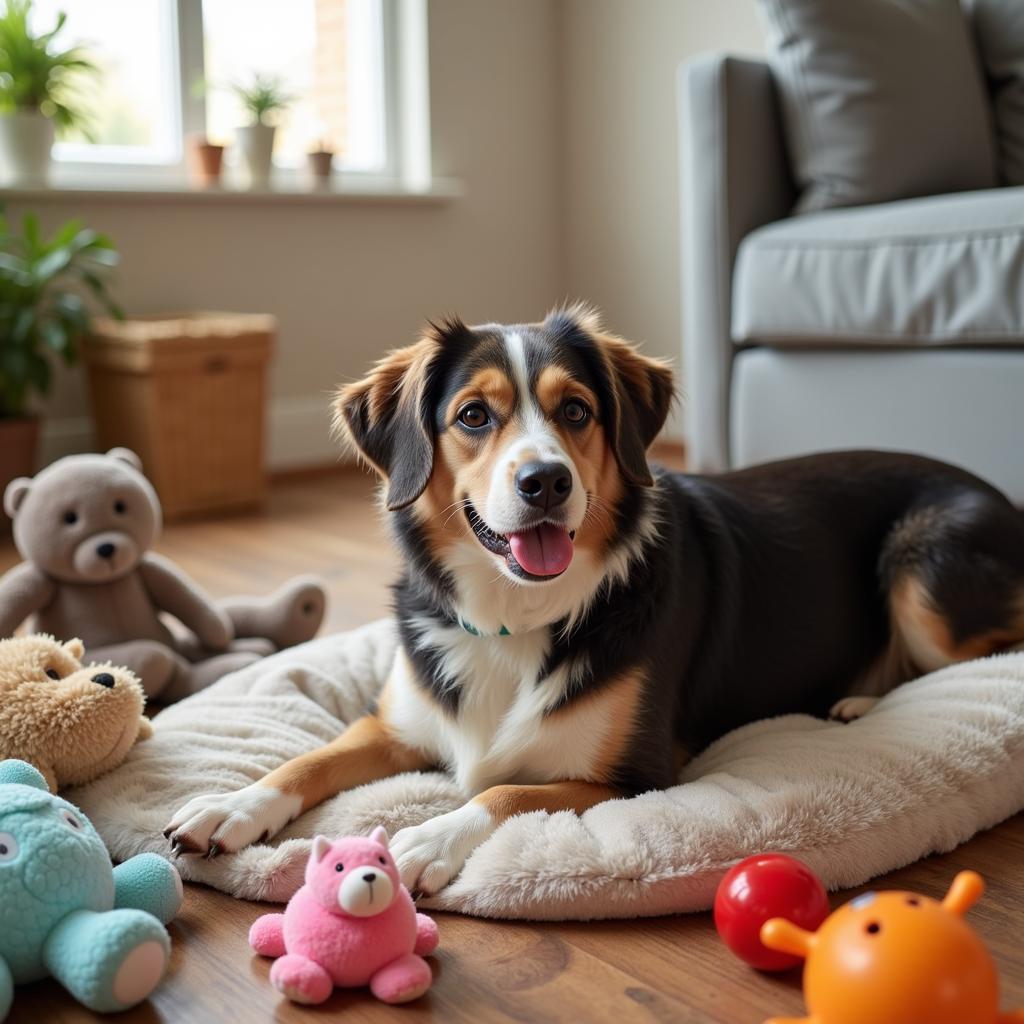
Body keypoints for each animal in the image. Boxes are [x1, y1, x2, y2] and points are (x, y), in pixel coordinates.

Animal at [165, 305, 1024, 897]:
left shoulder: (638, 773)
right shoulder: (398, 724)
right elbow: (308, 758)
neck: (515, 616)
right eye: (473, 415)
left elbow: (506, 788)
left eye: (576, 410)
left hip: (921, 573)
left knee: (985, 649)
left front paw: (428, 838)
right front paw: (230, 808)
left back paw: (862, 700)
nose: (545, 482)